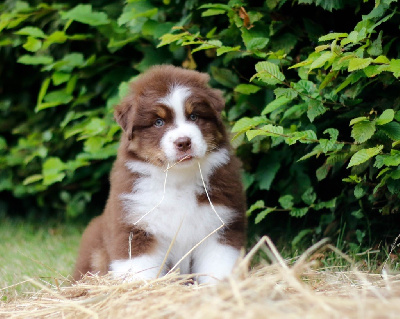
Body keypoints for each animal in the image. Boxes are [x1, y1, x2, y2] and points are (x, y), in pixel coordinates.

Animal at [73, 65, 245, 284]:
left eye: (194, 116)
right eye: (158, 122)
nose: (184, 142)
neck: (178, 179)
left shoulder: (219, 226)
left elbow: (217, 267)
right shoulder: (136, 226)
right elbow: (139, 270)